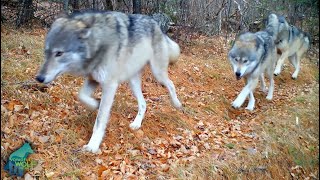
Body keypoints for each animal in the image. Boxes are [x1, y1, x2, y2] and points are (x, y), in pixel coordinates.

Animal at [35, 10, 182, 153]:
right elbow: (81, 96)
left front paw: (93, 145)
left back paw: (177, 104)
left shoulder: (109, 86)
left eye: (59, 53)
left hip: (157, 74)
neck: (98, 42)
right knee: (143, 103)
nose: (39, 78)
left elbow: (100, 120)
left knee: (171, 84)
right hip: (133, 82)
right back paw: (136, 124)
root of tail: (156, 25)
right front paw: (95, 104)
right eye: (46, 52)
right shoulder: (93, 79)